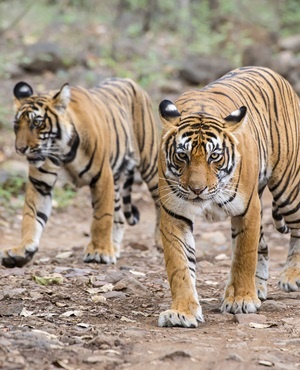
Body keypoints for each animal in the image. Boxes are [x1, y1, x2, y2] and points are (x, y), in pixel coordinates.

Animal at [1, 79, 161, 268]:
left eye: (37, 123)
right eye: (17, 125)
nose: (20, 149)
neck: (62, 151)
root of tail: (130, 81)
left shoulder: (102, 176)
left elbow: (102, 217)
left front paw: (99, 252)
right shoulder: (40, 184)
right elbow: (31, 216)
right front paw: (22, 250)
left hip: (150, 163)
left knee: (160, 201)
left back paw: (159, 242)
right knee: (119, 216)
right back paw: (114, 247)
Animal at [157, 66, 300, 326]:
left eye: (214, 156)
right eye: (183, 156)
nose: (197, 189)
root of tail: (270, 70)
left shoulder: (248, 208)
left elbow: (244, 255)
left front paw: (241, 300)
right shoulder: (174, 213)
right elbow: (179, 265)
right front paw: (182, 312)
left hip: (288, 188)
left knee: (296, 229)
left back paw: (291, 276)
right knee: (264, 245)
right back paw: (259, 288)